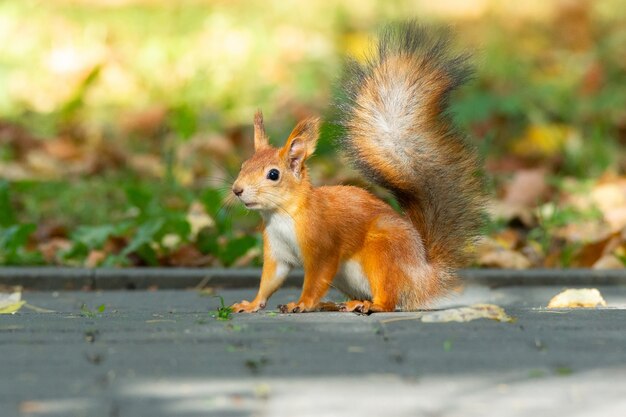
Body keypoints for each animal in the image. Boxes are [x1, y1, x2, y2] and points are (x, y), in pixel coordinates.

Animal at [229, 22, 482, 312]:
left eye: (273, 174)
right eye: (243, 165)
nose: (237, 190)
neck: (282, 214)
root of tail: (423, 277)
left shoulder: (323, 245)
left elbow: (316, 278)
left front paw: (302, 303)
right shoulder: (277, 252)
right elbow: (270, 282)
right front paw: (251, 304)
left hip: (383, 252)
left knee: (390, 298)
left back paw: (371, 305)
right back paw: (341, 303)